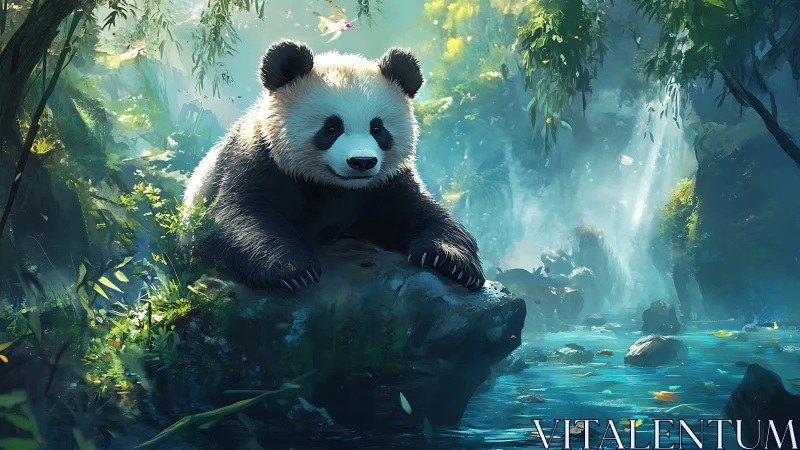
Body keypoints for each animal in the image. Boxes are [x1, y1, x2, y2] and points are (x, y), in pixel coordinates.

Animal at [182, 40, 486, 292]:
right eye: (331, 128)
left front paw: (453, 261)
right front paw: (293, 270)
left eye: (377, 129)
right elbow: (240, 216)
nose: (362, 162)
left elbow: (428, 213)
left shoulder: (386, 183)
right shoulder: (257, 160)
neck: (337, 188)